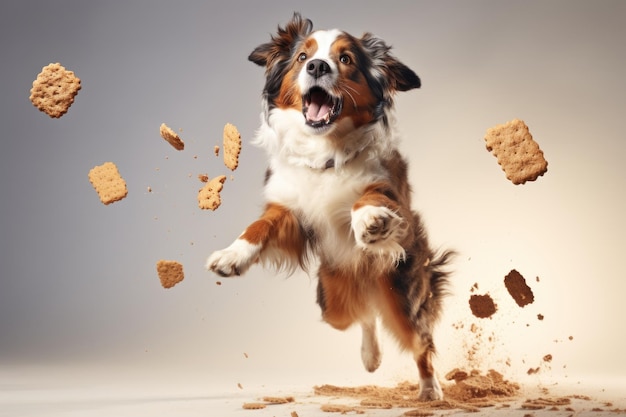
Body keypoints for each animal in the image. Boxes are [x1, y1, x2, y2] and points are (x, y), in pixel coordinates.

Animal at [207, 12, 450, 396]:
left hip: (402, 291)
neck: (325, 150)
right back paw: (371, 356)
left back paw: (429, 389)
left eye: (346, 58)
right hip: (332, 298)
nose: (318, 66)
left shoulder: (391, 189)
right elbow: (259, 226)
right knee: (363, 314)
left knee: (419, 340)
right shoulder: (288, 211)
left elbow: (369, 198)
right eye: (302, 57)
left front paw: (370, 220)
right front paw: (232, 256)